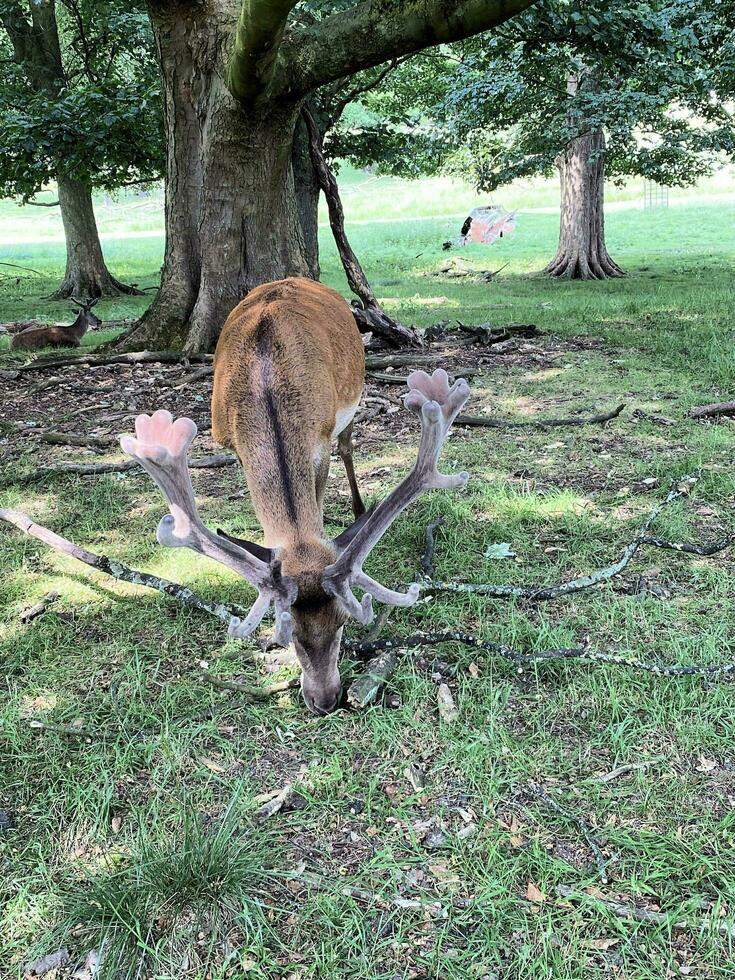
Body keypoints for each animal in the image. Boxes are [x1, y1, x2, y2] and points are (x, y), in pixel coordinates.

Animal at [119, 276, 466, 712]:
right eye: (289, 632)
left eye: (343, 623)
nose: (327, 700)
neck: (265, 388)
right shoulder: (233, 446)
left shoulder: (320, 439)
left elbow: (318, 499)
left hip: (350, 402)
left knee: (349, 447)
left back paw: (359, 509)